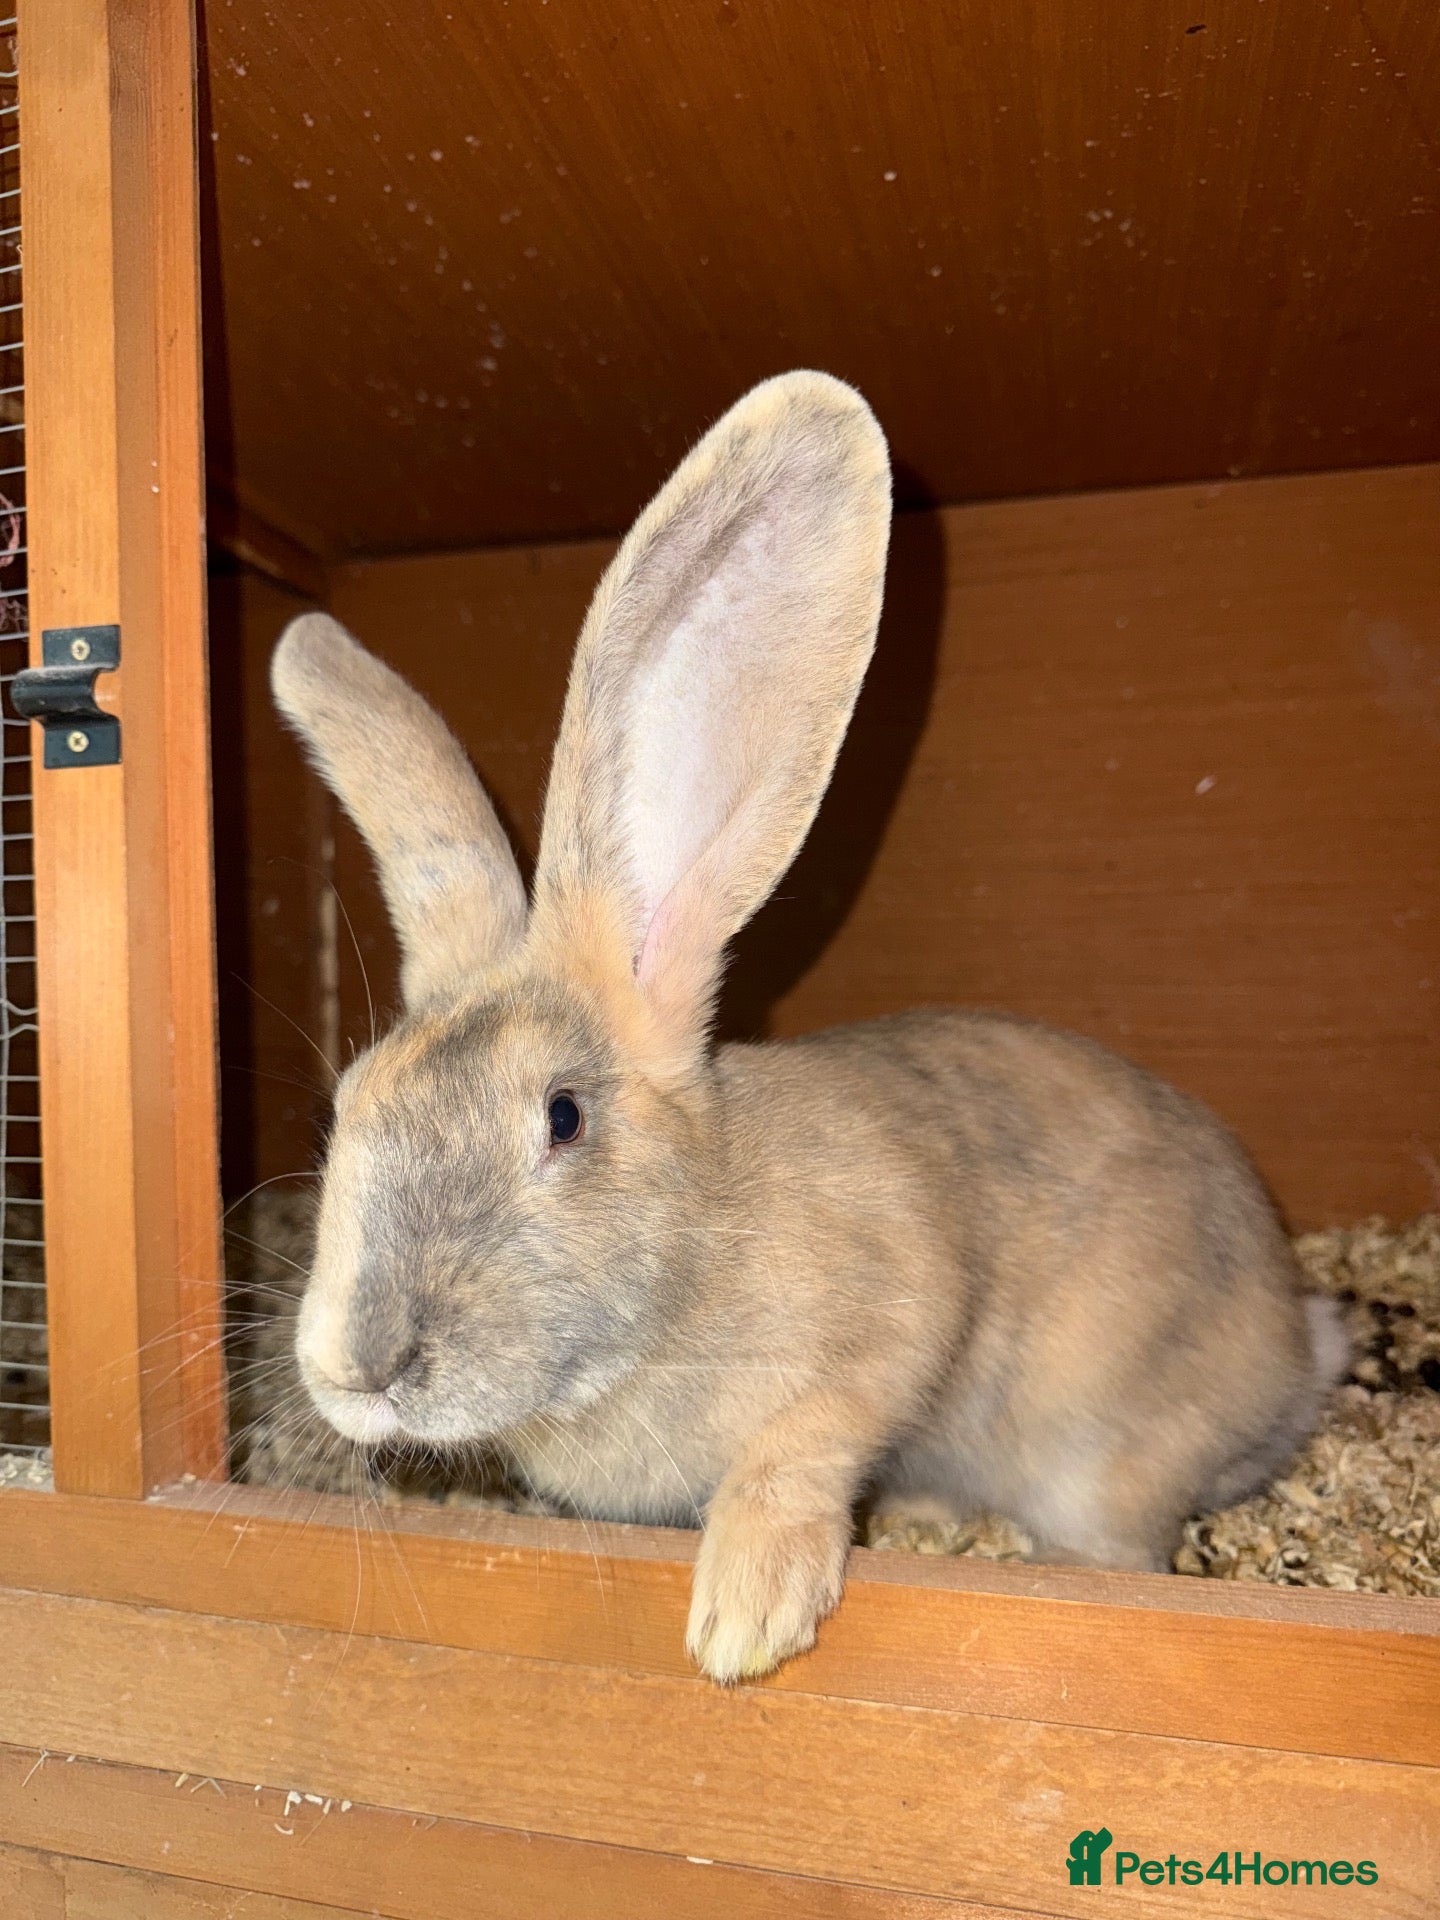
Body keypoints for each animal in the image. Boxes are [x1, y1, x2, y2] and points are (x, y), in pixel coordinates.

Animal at [270, 370, 1345, 1683]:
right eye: (346, 1105)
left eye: (563, 1117)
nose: (354, 1368)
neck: (692, 1258)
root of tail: (1299, 1350)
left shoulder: (897, 1317)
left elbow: (804, 1445)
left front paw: (745, 1621)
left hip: (1107, 1447)